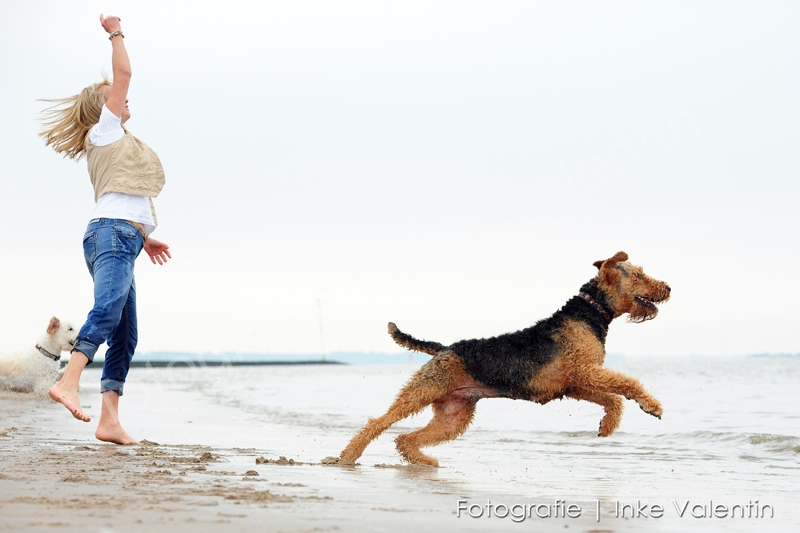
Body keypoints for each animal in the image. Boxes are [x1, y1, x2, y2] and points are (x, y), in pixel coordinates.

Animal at [340, 252, 671, 466]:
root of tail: (444, 348)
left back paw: (425, 462)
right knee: (378, 423)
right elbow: (627, 385)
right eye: (639, 274)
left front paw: (606, 426)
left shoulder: (573, 383)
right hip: (422, 390)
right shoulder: (584, 371)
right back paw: (347, 457)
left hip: (454, 414)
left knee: (405, 439)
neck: (590, 312)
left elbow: (613, 399)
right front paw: (652, 406)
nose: (668, 287)